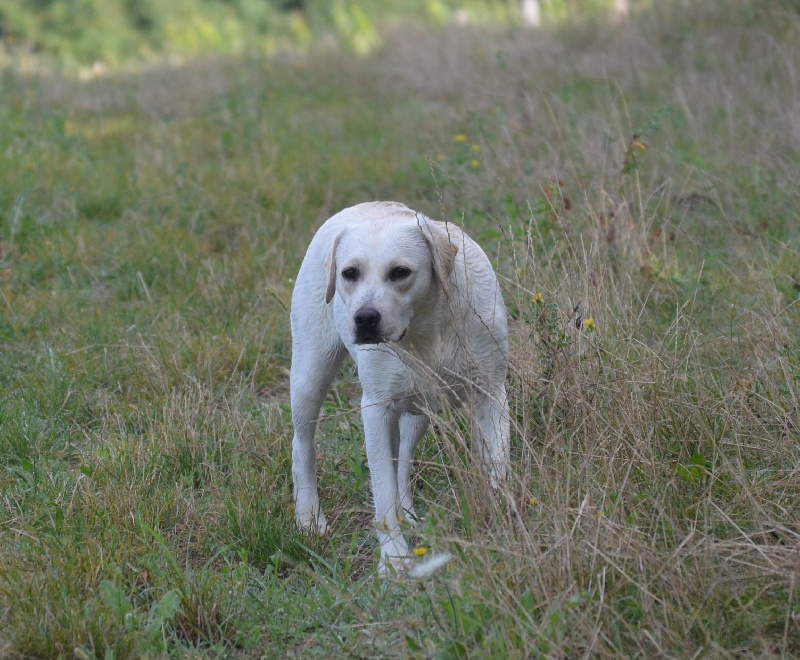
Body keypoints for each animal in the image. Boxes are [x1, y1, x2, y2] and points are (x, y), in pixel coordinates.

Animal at [290, 201, 510, 572]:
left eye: (400, 272)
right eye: (350, 273)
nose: (364, 318)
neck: (426, 327)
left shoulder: (491, 393)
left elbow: (497, 465)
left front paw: (503, 525)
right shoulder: (376, 410)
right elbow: (383, 492)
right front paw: (394, 559)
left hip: (417, 411)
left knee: (403, 460)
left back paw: (408, 514)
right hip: (310, 376)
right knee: (302, 444)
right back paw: (308, 517)